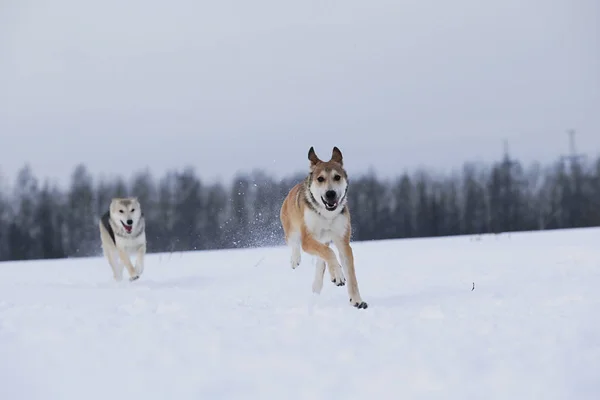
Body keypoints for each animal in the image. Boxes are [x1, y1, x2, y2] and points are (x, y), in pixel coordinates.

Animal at [278, 146, 368, 310]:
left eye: (337, 177)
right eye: (320, 179)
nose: (330, 193)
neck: (327, 215)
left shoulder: (343, 242)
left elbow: (350, 274)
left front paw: (357, 300)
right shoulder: (307, 239)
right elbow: (328, 253)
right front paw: (338, 274)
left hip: (323, 239)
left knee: (321, 259)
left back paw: (320, 283)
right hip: (291, 230)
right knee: (296, 243)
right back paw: (295, 260)